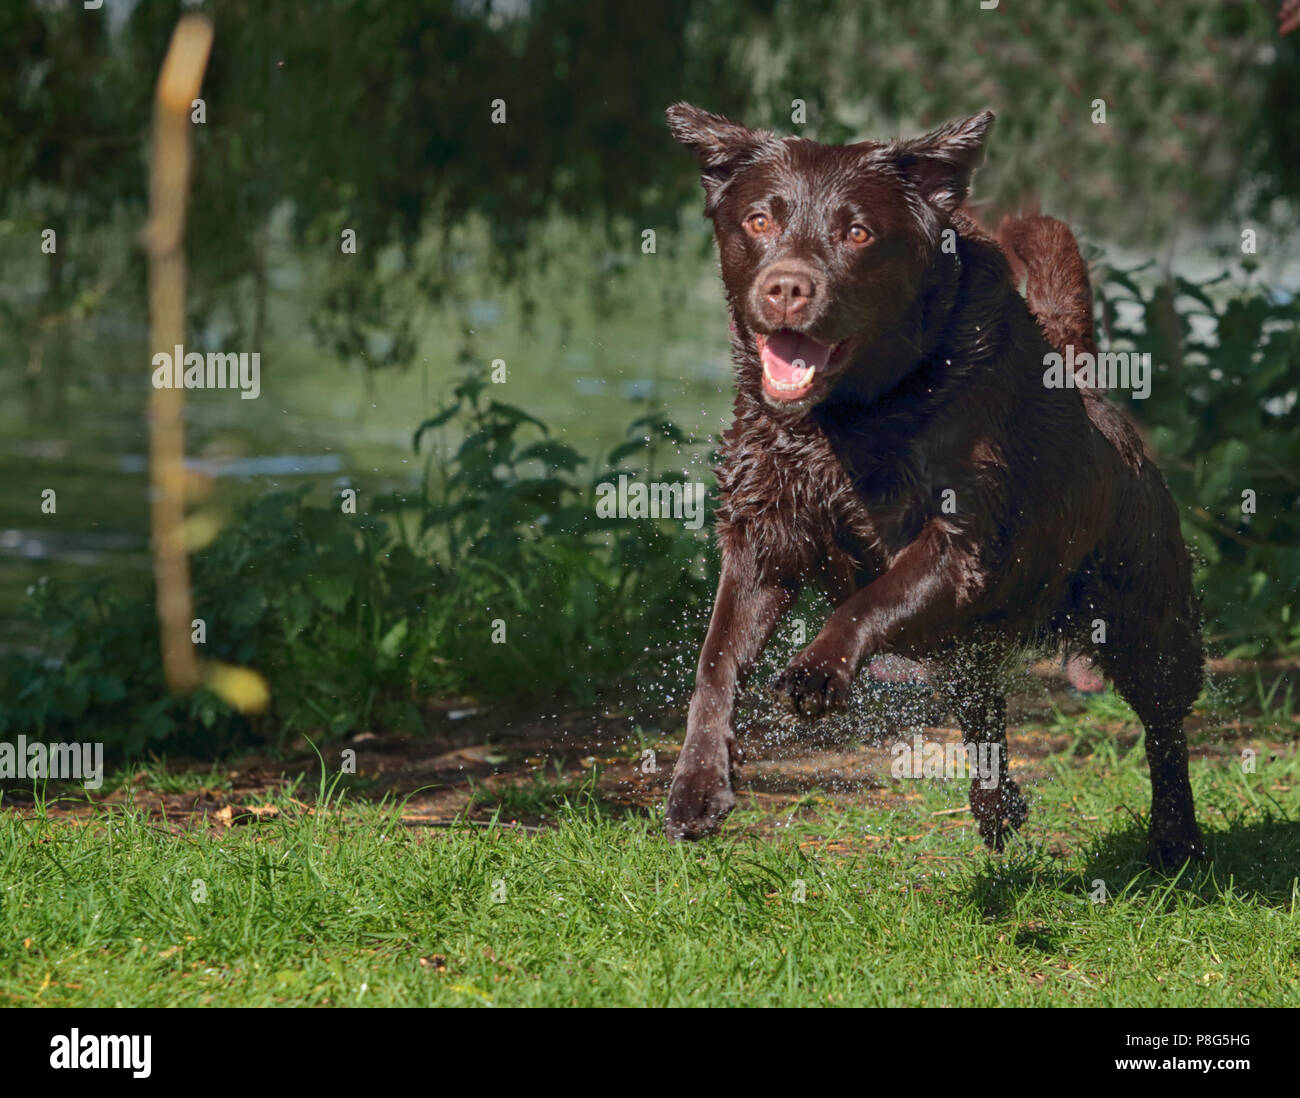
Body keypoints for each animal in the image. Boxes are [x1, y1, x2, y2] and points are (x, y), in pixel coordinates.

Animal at [665, 102, 1201, 862]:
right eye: (759, 221)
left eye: (857, 233)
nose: (787, 288)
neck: (850, 416)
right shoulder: (763, 541)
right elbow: (715, 664)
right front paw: (696, 787)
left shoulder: (959, 544)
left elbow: (865, 604)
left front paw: (815, 671)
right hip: (975, 641)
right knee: (984, 711)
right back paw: (997, 805)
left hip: (1143, 616)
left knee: (1164, 723)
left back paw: (1175, 838)